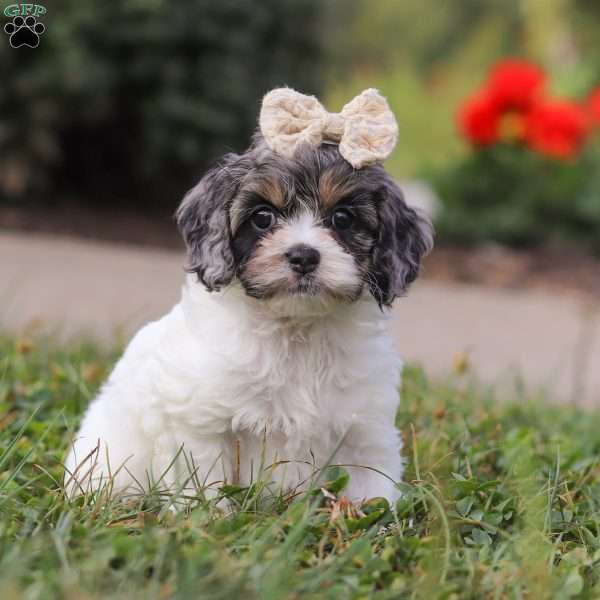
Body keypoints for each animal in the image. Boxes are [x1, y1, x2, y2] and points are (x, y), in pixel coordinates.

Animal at [64, 88, 432, 502]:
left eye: (342, 218)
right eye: (263, 217)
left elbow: (373, 493)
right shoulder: (200, 424)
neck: (296, 330)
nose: (304, 256)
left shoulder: (365, 432)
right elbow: (204, 485)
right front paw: (207, 514)